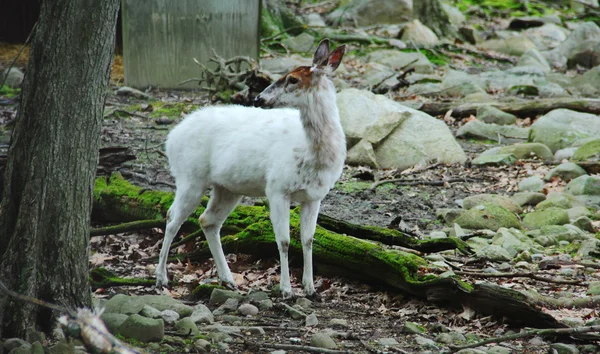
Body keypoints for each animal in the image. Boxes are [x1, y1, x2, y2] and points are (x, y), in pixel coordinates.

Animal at [156, 39, 346, 298]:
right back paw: (161, 278)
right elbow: (284, 240)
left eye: (293, 79)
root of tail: (171, 138)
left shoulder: (315, 195)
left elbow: (308, 239)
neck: (313, 156)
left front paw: (310, 288)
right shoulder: (276, 187)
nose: (258, 99)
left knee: (207, 220)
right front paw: (286, 290)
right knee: (172, 217)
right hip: (189, 176)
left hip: (227, 188)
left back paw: (228, 279)